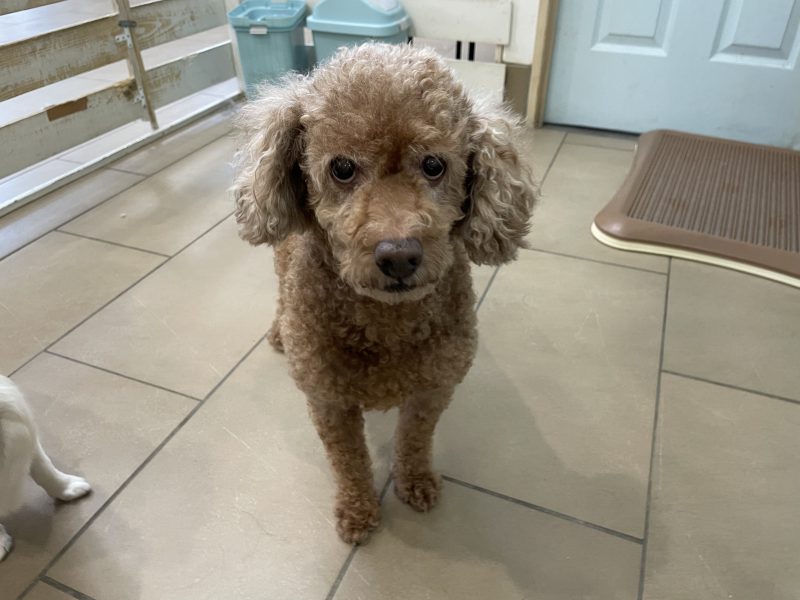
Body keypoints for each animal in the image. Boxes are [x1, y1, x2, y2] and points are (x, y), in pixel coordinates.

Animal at [233, 43, 536, 543]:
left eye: (434, 165)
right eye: (342, 167)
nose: (399, 257)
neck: (386, 321)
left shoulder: (432, 390)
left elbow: (414, 440)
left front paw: (415, 482)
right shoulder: (329, 401)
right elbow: (348, 460)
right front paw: (358, 511)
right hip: (280, 260)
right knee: (279, 293)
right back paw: (278, 333)